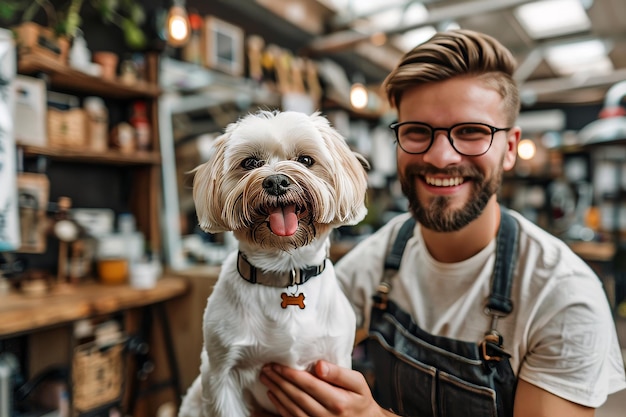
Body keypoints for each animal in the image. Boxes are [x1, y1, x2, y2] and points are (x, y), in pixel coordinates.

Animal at [178, 109, 368, 416]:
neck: (283, 272)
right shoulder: (219, 375)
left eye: (305, 160)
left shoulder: (334, 361)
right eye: (250, 163)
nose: (276, 181)